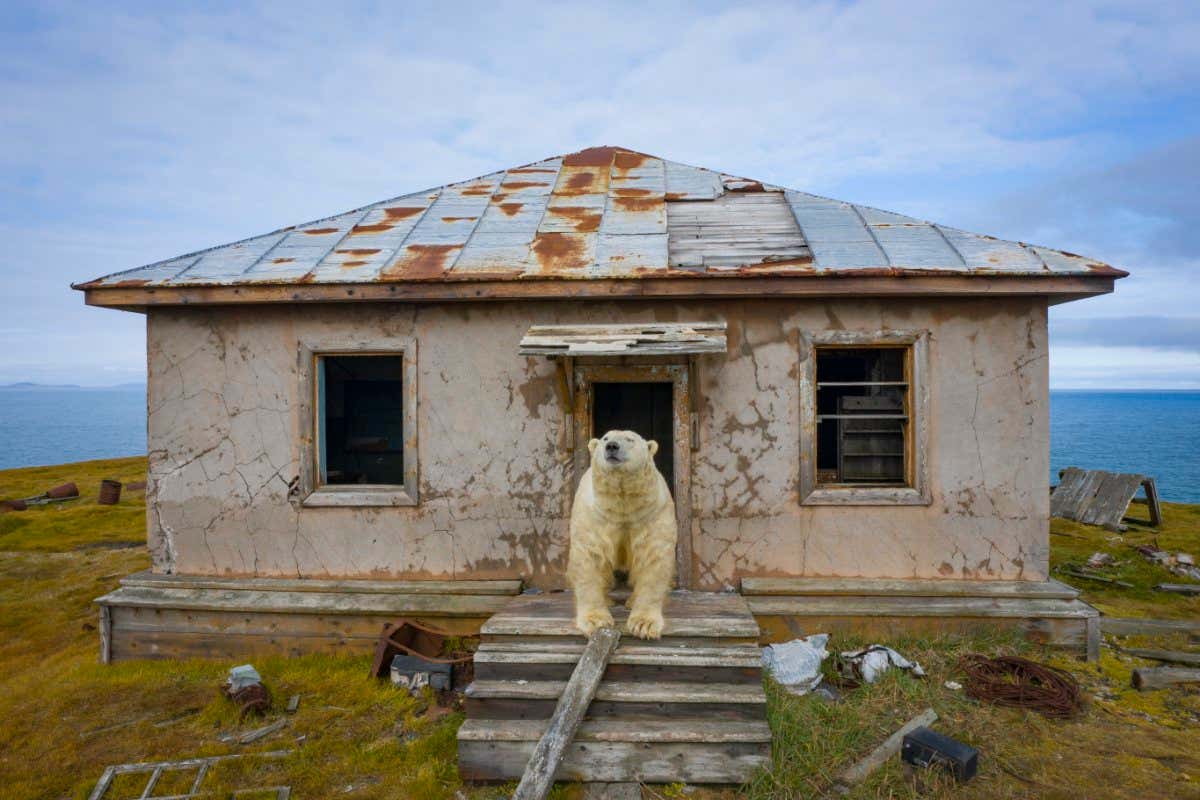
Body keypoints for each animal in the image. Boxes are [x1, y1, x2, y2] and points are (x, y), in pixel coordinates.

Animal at [567, 429, 677, 639]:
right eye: (605, 438)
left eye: (630, 439)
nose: (612, 446)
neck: (622, 504)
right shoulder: (594, 515)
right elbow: (590, 557)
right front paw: (595, 620)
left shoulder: (651, 512)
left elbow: (653, 558)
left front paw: (644, 624)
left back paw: (632, 601)